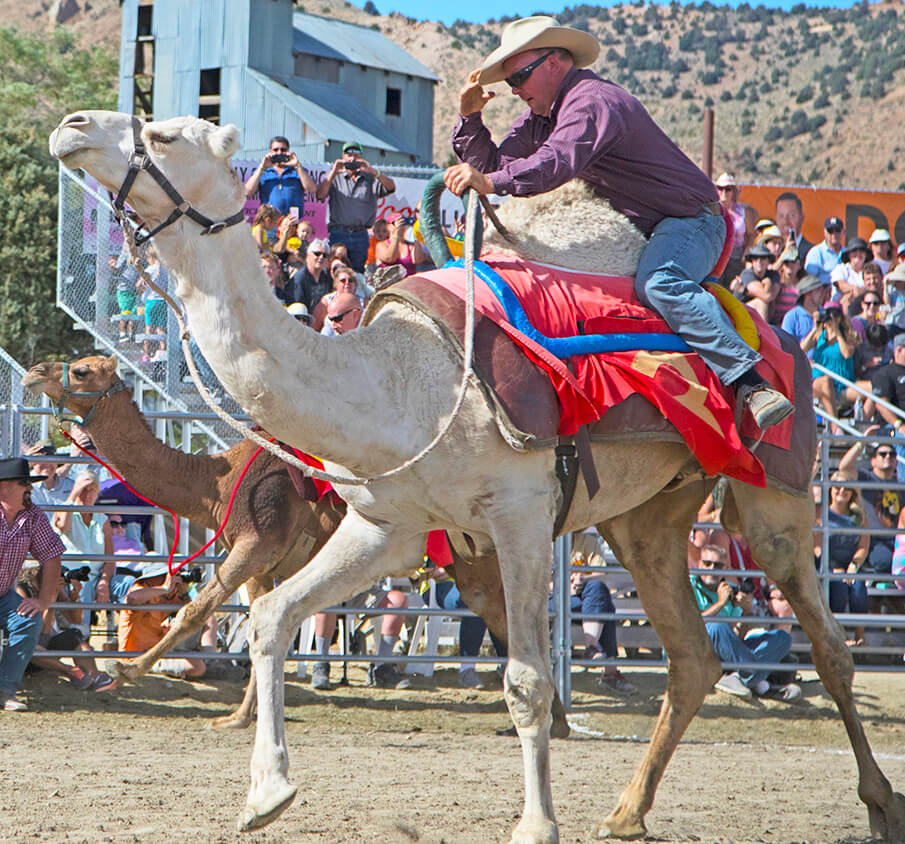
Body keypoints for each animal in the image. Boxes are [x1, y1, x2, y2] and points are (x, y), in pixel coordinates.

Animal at [49, 109, 904, 840]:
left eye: (164, 132)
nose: (71, 126)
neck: (396, 385)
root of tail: (785, 343)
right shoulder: (387, 526)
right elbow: (270, 617)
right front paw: (265, 796)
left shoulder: (518, 510)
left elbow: (525, 680)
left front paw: (535, 825)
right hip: (648, 515)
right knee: (692, 656)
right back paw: (625, 812)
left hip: (774, 493)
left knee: (828, 644)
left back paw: (876, 802)